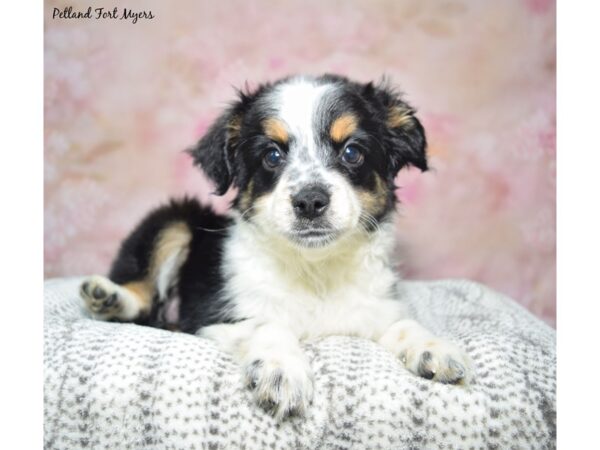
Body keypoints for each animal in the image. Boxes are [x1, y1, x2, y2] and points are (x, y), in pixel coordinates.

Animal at [81, 72, 474, 420]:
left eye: (352, 152)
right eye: (271, 156)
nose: (310, 201)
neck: (315, 269)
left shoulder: (374, 308)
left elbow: (403, 324)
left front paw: (434, 349)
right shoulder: (215, 317)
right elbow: (268, 325)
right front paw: (281, 370)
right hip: (173, 221)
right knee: (142, 292)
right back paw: (108, 296)